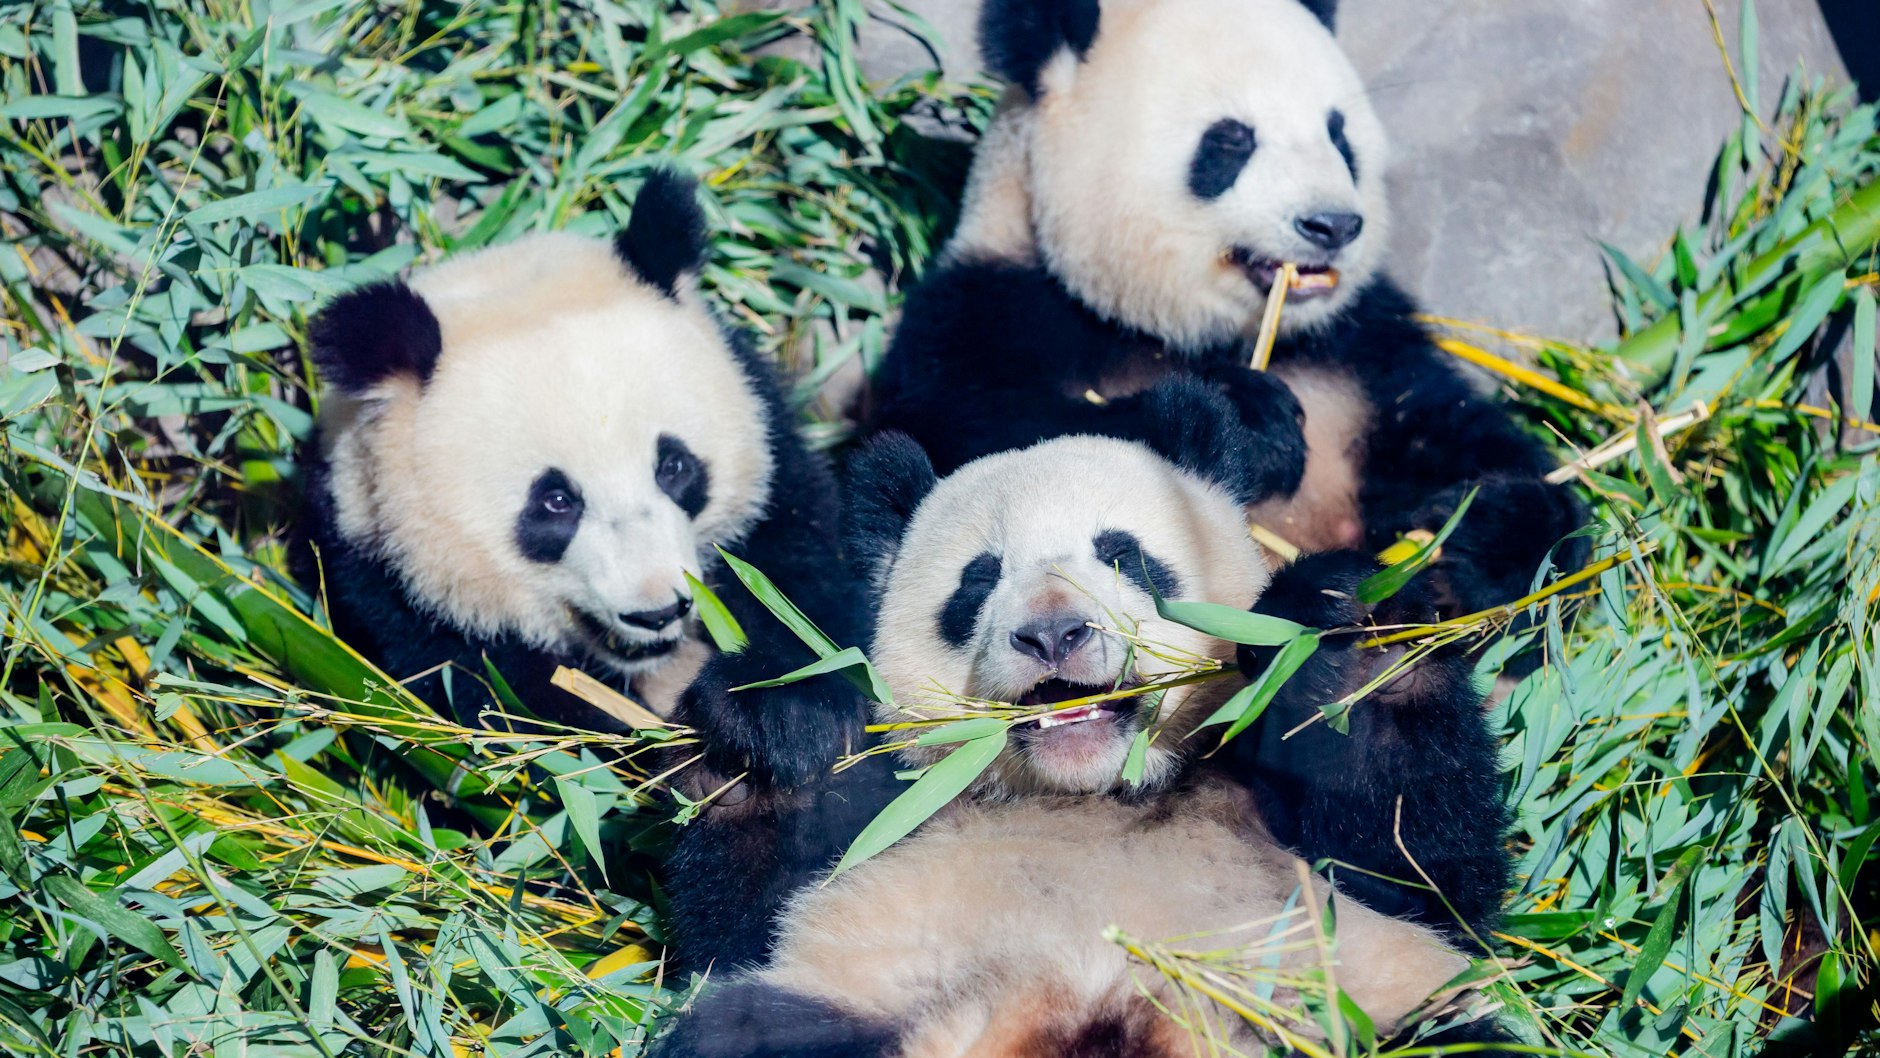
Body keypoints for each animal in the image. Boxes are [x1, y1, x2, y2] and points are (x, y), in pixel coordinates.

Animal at [299, 170, 864, 790]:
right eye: (554, 502)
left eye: (674, 467)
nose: (656, 612)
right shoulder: (391, 590)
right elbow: (547, 743)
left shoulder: (779, 485)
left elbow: (810, 607)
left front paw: (777, 714)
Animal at [652, 382, 1517, 1058]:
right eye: (979, 579)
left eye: (1123, 554)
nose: (1053, 634)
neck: (1092, 792)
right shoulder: (896, 815)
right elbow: (744, 923)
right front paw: (776, 722)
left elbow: (1418, 869)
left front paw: (1344, 630)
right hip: (862, 1003)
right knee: (748, 1028)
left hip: (1356, 1014)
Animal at [869, 0, 1587, 624]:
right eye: (1232, 140)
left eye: (1339, 136)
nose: (1333, 224)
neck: (1190, 330)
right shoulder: (987, 314)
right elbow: (973, 443)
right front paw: (1249, 421)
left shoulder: (1363, 346)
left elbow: (1454, 436)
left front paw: (1489, 530)